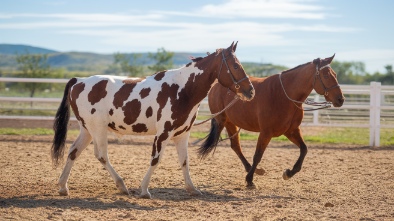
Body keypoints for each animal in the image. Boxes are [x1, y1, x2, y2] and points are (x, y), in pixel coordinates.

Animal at [50, 41, 254, 199]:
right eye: (236, 66)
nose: (250, 91)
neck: (182, 90)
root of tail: (78, 81)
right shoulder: (163, 133)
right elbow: (156, 160)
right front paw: (144, 190)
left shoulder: (182, 135)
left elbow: (184, 161)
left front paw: (192, 189)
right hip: (98, 129)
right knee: (101, 155)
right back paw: (121, 185)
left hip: (87, 130)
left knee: (73, 151)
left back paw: (63, 187)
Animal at [199, 55, 344, 188]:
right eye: (326, 76)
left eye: (335, 74)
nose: (340, 99)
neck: (283, 95)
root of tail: (216, 85)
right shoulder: (266, 133)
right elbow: (258, 155)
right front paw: (250, 180)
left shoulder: (291, 131)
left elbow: (304, 149)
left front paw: (289, 173)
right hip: (222, 121)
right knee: (236, 146)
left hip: (230, 123)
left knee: (236, 146)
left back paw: (254, 170)